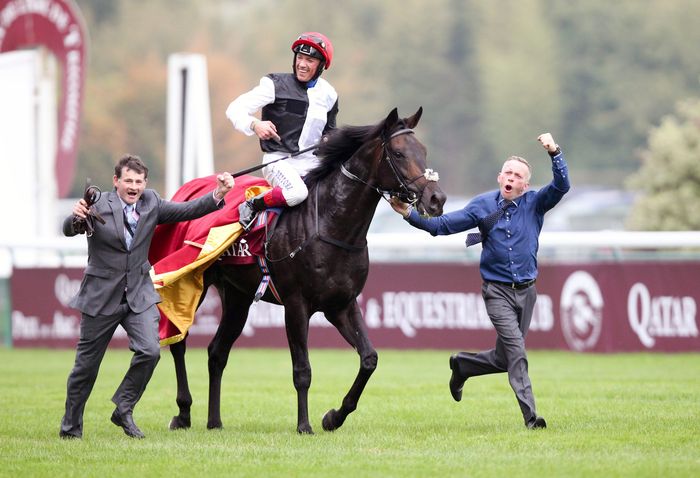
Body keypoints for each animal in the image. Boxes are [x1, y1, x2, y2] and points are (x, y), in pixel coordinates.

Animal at [167, 107, 446, 434]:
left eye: (423, 151)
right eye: (399, 153)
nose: (436, 199)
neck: (331, 225)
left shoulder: (342, 304)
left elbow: (369, 359)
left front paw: (334, 416)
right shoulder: (296, 304)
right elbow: (302, 369)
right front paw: (304, 425)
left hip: (237, 295)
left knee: (216, 352)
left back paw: (214, 421)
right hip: (192, 280)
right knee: (179, 342)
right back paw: (183, 412)